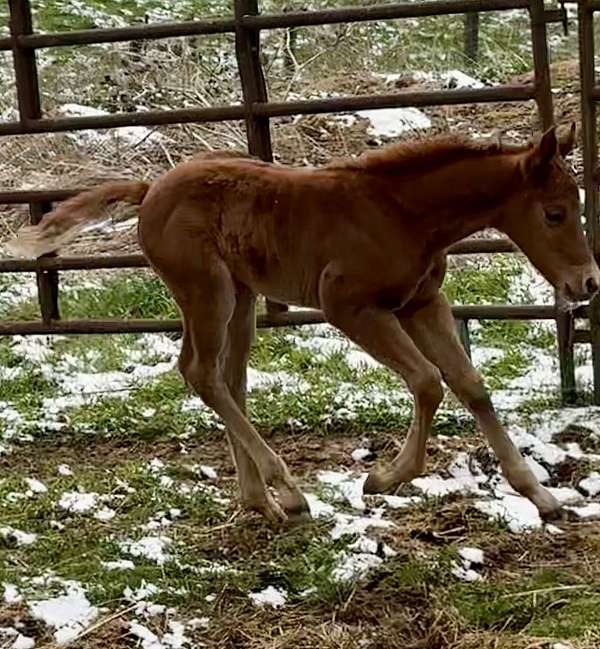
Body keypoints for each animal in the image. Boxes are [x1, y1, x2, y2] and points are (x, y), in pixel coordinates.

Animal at [7, 123, 598, 526]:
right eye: (553, 213)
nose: (588, 283)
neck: (401, 214)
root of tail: (150, 189)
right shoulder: (350, 307)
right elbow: (429, 381)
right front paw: (385, 477)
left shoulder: (423, 303)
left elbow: (472, 386)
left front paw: (542, 497)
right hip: (206, 290)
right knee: (199, 371)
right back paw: (287, 492)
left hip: (242, 296)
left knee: (229, 378)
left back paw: (259, 500)